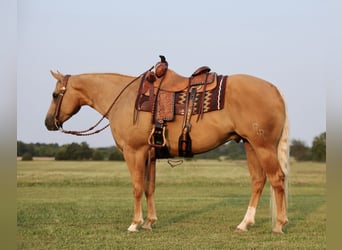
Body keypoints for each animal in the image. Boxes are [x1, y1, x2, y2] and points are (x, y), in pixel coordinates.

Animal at [44, 57, 288, 233]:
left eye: (55, 95)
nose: (48, 123)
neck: (125, 99)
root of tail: (275, 90)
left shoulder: (134, 152)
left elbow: (137, 187)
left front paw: (135, 224)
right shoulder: (149, 154)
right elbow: (149, 187)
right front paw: (149, 222)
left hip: (263, 146)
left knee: (277, 179)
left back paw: (279, 224)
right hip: (250, 145)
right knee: (258, 181)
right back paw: (244, 224)